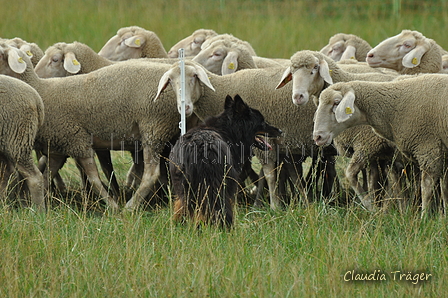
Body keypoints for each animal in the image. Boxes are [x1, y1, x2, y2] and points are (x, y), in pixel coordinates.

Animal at [0, 73, 44, 211]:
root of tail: (37, 99)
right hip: (6, 143)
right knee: (6, 173)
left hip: (18, 139)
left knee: (35, 177)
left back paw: (39, 211)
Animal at [312, 75, 448, 217]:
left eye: (337, 102)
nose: (317, 137)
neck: (393, 108)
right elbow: (445, 189)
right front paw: (443, 218)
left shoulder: (427, 149)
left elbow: (426, 188)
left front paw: (424, 218)